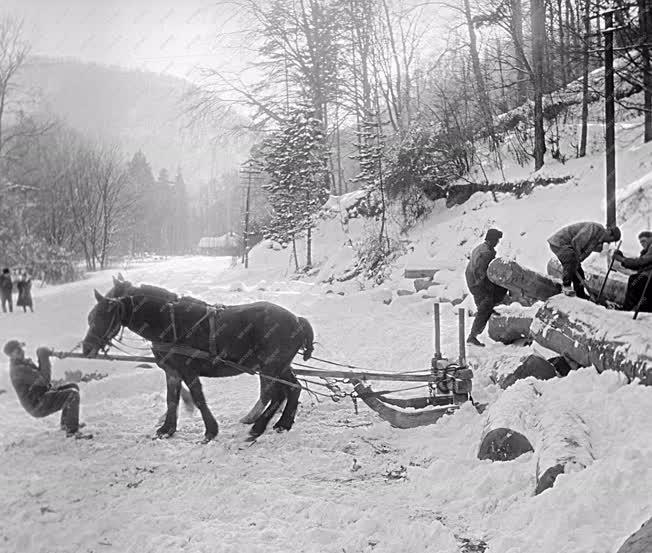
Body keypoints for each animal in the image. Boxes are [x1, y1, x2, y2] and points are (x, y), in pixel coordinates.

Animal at [83, 286, 314, 442]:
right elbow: (171, 400)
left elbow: (198, 399)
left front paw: (210, 431)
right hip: (280, 367)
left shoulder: (188, 371)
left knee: (276, 394)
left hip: (271, 367)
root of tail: (298, 320)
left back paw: (258, 426)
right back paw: (282, 423)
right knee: (292, 389)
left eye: (103, 317)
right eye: (90, 317)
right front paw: (167, 429)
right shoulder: (172, 372)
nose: (86, 348)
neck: (169, 323)